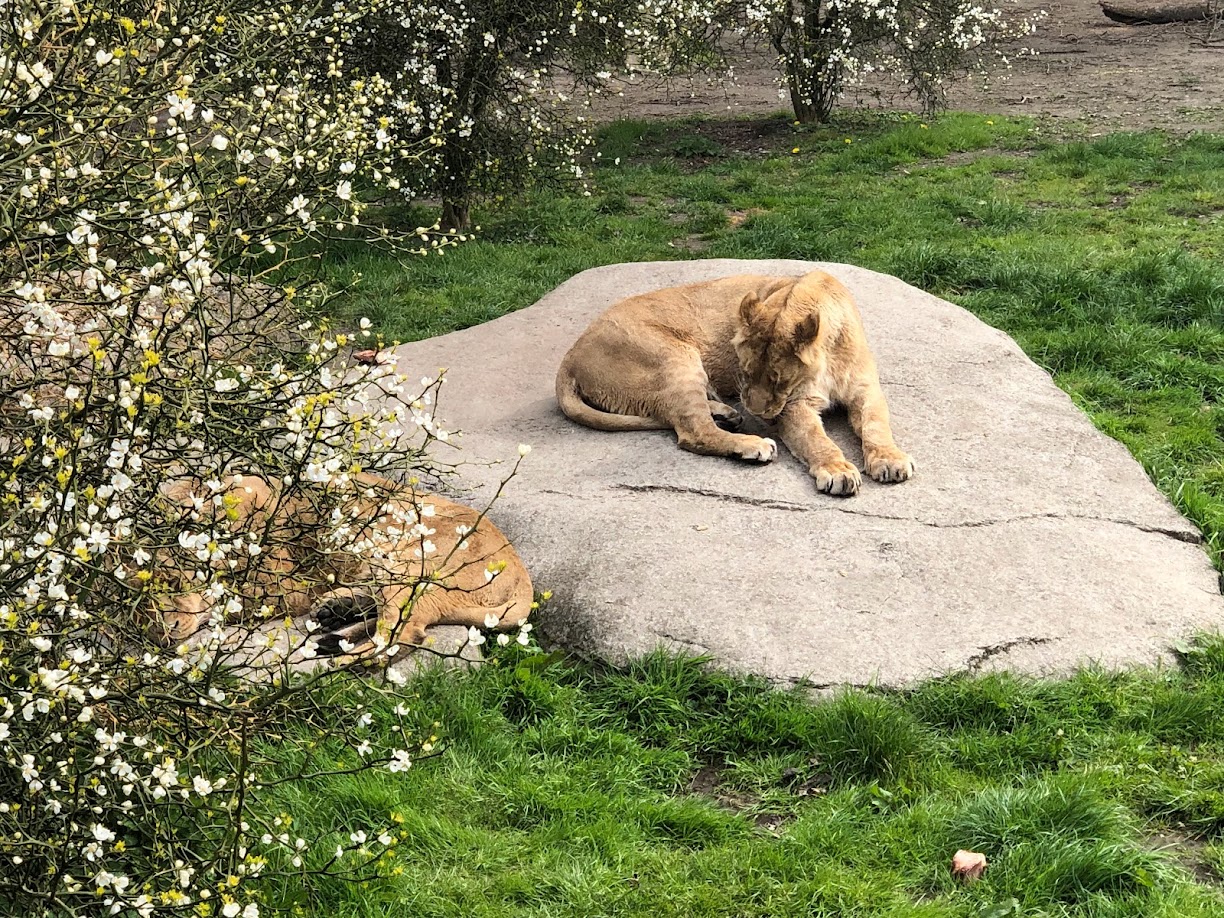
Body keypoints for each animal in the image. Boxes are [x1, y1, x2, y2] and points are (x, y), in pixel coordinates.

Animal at [151, 472, 534, 656]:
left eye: (176, 583)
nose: (163, 632)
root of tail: (523, 579)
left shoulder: (282, 585)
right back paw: (334, 619)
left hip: (412, 558)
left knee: (401, 635)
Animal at [555, 270, 913, 496]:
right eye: (744, 370)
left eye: (777, 378)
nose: (758, 414)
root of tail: (568, 358)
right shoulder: (793, 406)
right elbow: (816, 439)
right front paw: (838, 470)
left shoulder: (865, 389)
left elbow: (876, 425)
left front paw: (890, 460)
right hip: (676, 357)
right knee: (692, 432)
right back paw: (752, 444)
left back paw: (726, 414)